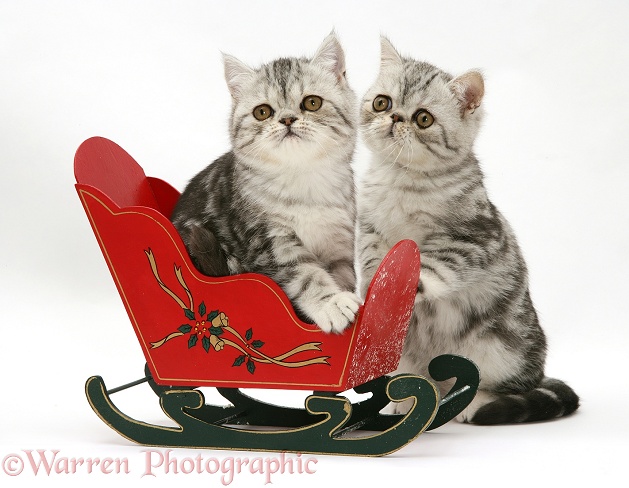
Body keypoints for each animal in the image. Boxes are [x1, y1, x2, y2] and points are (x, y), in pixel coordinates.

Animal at [170, 33, 364, 332]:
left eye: (312, 103)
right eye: (262, 112)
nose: (287, 119)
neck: (302, 180)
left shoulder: (340, 242)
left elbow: (344, 276)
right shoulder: (269, 241)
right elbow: (304, 274)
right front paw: (331, 303)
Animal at [358, 38, 580, 426]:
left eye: (423, 118)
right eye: (382, 102)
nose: (395, 118)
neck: (401, 179)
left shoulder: (475, 237)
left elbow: (433, 264)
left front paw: (407, 282)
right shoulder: (369, 227)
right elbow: (373, 258)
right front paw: (375, 288)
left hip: (503, 350)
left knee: (501, 385)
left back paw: (473, 403)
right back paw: (408, 396)